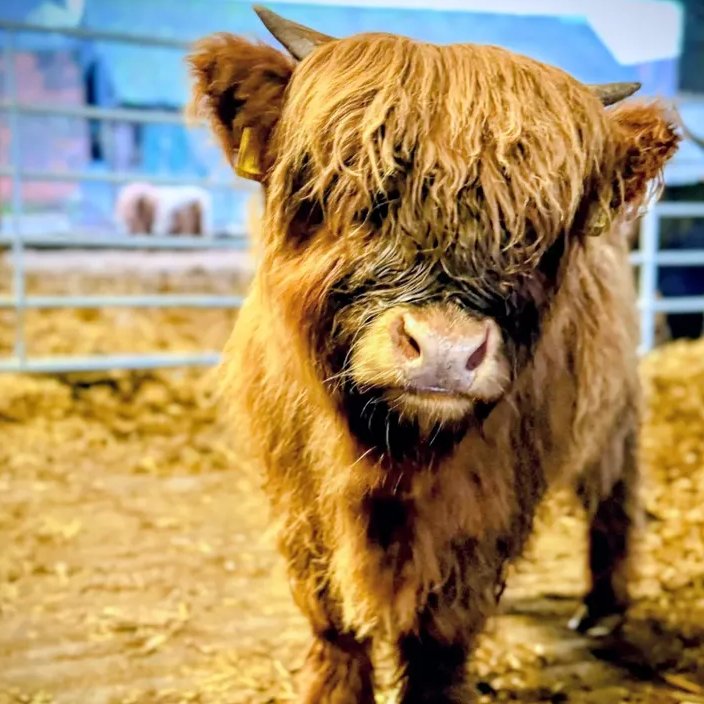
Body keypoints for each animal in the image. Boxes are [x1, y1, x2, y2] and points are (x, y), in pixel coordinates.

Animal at [188, 7, 680, 702]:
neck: (390, 453)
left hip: (616, 415)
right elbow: (333, 620)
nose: (445, 349)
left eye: (533, 232)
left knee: (612, 499)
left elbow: (439, 634)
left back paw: (603, 608)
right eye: (358, 193)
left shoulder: (486, 500)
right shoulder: (297, 492)